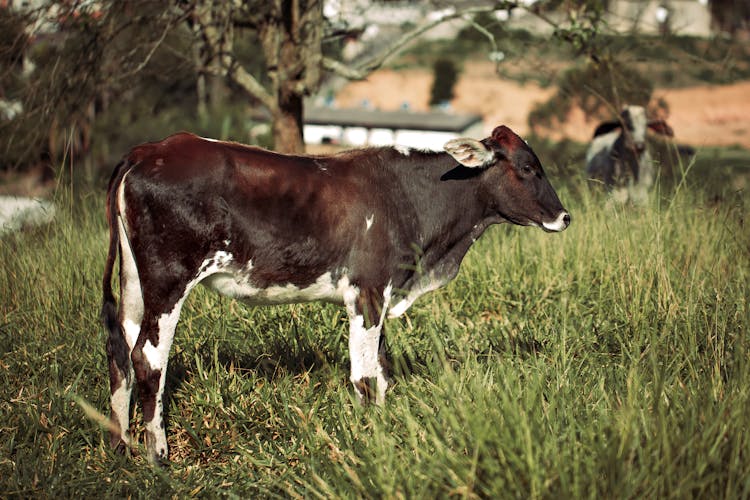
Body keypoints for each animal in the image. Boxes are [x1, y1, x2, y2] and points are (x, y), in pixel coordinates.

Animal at [100, 125, 568, 460]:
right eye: (528, 167)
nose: (565, 216)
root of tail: (148, 150)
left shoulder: (381, 292)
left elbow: (382, 369)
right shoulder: (368, 290)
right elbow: (365, 375)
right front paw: (371, 440)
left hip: (135, 282)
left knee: (120, 348)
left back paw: (122, 444)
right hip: (169, 280)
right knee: (148, 359)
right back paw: (158, 454)